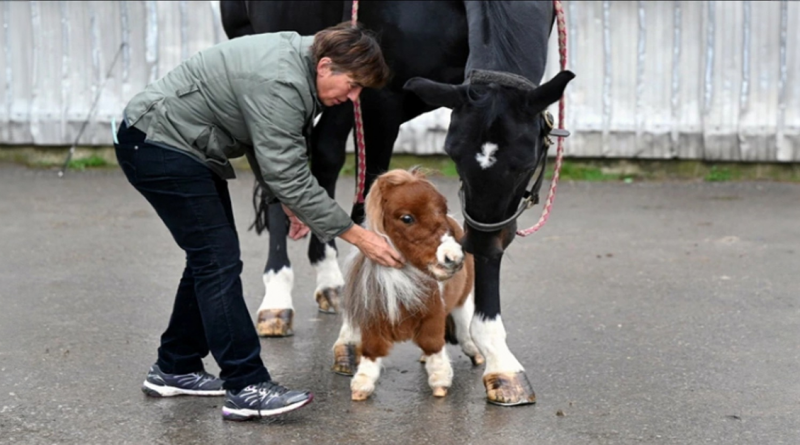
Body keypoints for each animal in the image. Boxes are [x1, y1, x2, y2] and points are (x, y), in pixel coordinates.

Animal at [336, 169, 482, 398]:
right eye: (407, 218)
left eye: (443, 209)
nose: (453, 257)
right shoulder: (373, 320)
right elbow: (371, 351)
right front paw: (361, 387)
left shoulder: (433, 316)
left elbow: (433, 345)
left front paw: (440, 383)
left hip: (462, 298)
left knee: (463, 325)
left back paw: (474, 353)